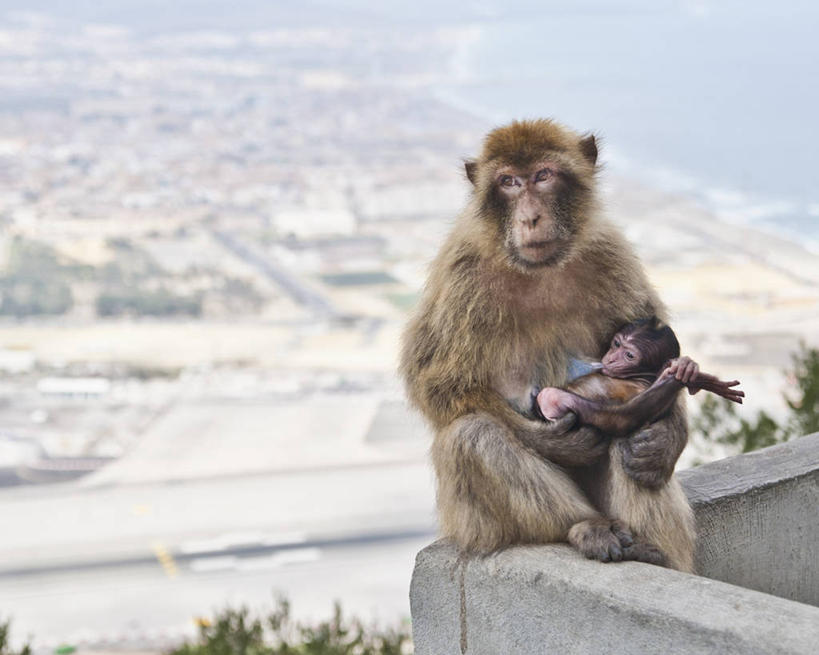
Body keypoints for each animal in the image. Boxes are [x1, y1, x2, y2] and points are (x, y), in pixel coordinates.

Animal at [400, 120, 696, 572]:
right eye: (508, 182)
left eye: (543, 175)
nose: (530, 217)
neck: (538, 269)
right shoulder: (461, 274)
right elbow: (436, 383)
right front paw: (552, 441)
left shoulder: (610, 254)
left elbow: (660, 349)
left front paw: (667, 439)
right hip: (474, 524)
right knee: (470, 435)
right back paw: (586, 526)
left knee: (630, 438)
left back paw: (652, 550)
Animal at [540, 320, 744, 438]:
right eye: (616, 344)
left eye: (629, 355)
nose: (611, 359)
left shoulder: (639, 389)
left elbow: (623, 419)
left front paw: (682, 376)